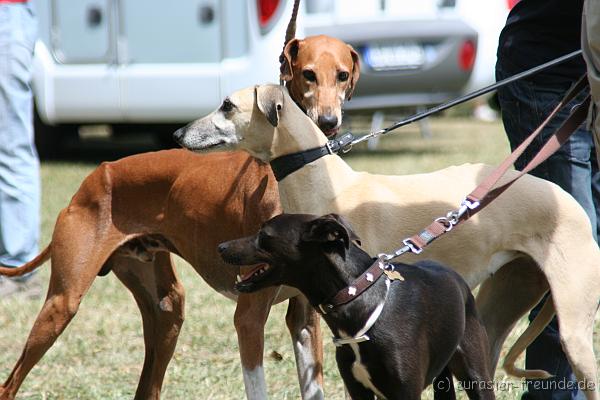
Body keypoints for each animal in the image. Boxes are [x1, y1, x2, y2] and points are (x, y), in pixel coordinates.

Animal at [218, 214, 494, 398]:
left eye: (264, 235)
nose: (220, 247)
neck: (360, 296)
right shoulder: (357, 389)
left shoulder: (406, 391)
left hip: (476, 374)